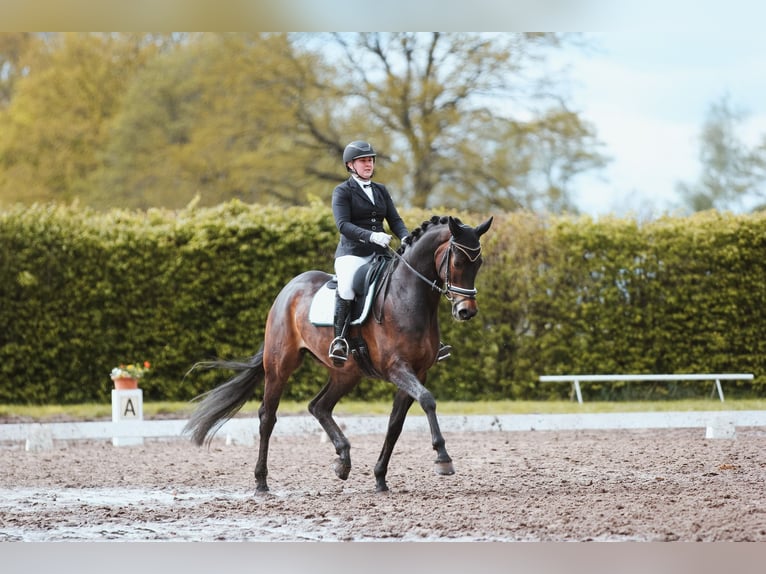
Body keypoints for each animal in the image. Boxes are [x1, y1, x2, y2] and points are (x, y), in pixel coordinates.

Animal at [187, 214, 498, 492]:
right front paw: (443, 458)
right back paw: (261, 482)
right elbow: (428, 400)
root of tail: (288, 289)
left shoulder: (418, 372)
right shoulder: (397, 368)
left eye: (479, 263)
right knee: (268, 416)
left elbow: (395, 424)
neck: (408, 297)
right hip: (280, 365)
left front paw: (380, 477)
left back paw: (343, 460)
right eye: (457, 262)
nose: (466, 312)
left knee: (319, 406)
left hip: (346, 373)